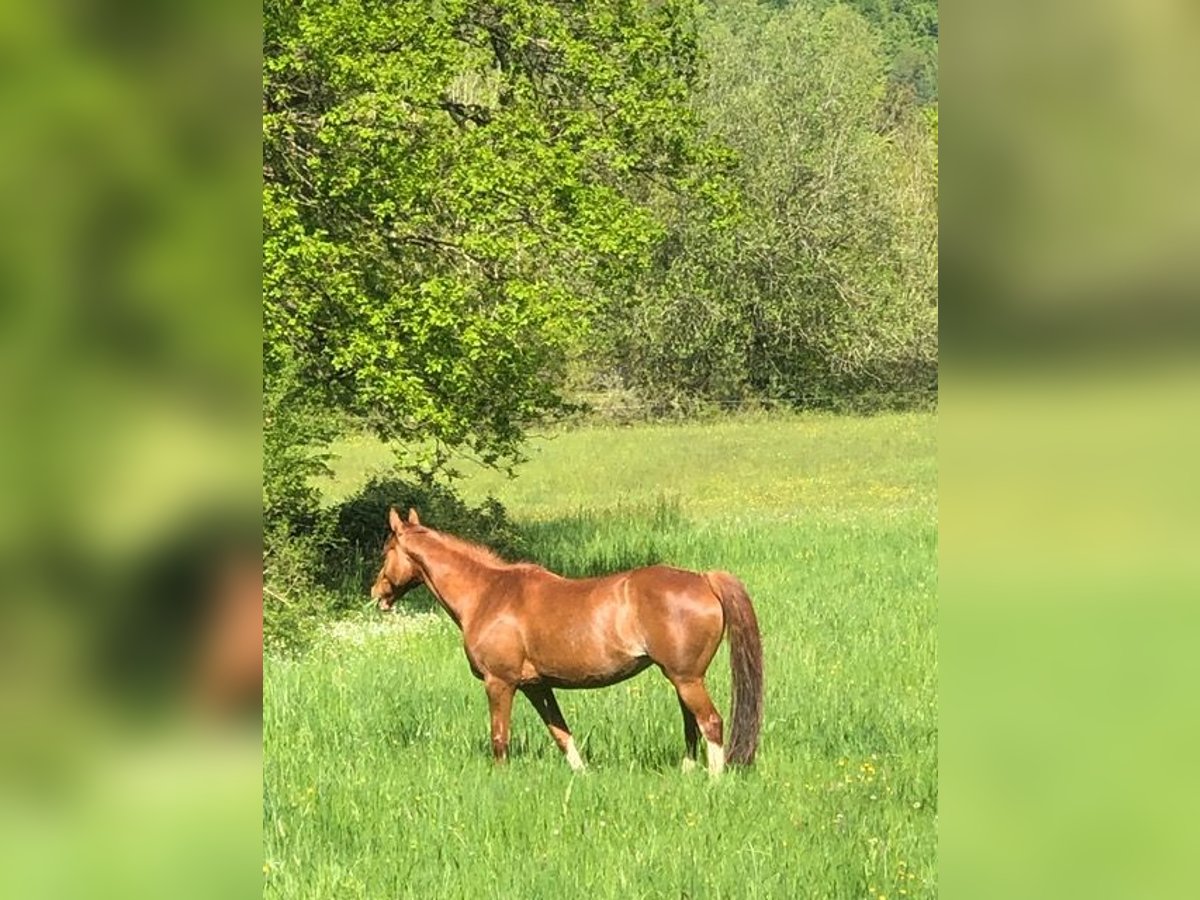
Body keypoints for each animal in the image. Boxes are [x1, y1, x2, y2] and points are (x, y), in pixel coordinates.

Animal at [367, 508, 758, 777]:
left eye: (386, 550)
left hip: (686, 678)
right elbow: (561, 733)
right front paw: (581, 775)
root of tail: (704, 579)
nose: (376, 594)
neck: (488, 593)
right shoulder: (537, 686)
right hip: (681, 679)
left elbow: (500, 738)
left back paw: (714, 780)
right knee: (691, 726)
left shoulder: (500, 683)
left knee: (710, 723)